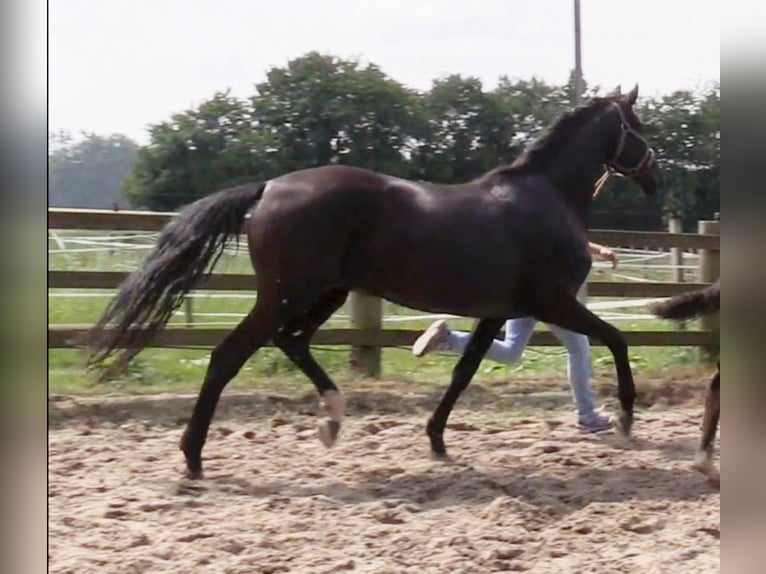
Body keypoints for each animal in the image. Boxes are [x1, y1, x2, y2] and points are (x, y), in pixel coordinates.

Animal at [87, 86, 664, 482]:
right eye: (638, 125)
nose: (656, 178)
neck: (545, 197)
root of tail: (269, 187)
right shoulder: (552, 301)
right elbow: (616, 338)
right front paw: (626, 416)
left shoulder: (497, 310)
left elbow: (463, 371)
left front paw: (436, 440)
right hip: (287, 294)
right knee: (230, 354)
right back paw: (193, 456)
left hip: (325, 293)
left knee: (291, 342)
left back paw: (332, 421)